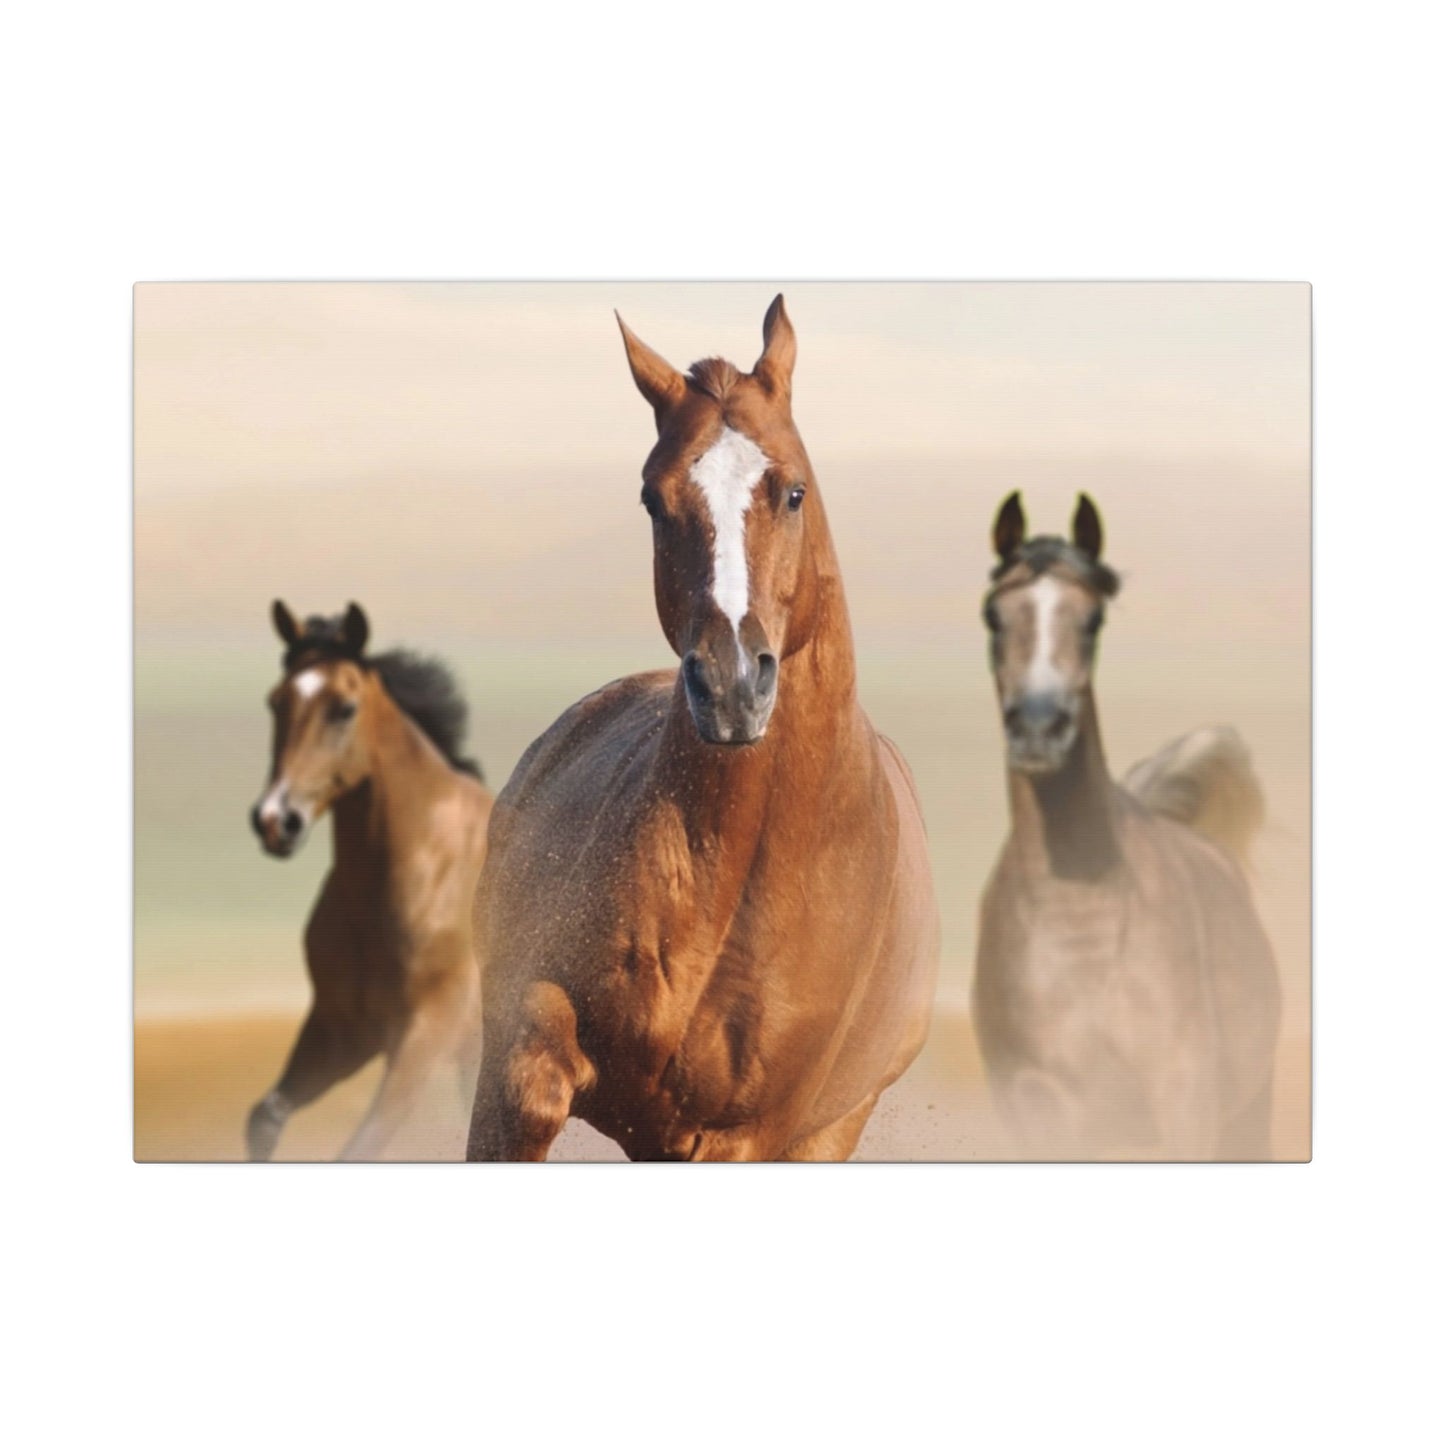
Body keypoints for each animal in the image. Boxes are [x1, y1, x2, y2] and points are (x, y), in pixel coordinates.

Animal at [246, 601, 492, 1160]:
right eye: (276, 702)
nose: (275, 820)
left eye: (343, 708)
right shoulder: (342, 1029)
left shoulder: (426, 1033)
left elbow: (361, 1146)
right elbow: (265, 1118)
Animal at [466, 295, 940, 1161]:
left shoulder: (737, 1133)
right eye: (654, 499)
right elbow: (532, 1088)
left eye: (793, 491)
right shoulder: (526, 1045)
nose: (730, 685)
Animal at [971, 492, 1281, 1160]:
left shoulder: (1184, 1106)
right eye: (993, 617)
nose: (1038, 728)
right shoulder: (1036, 1114)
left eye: (1092, 620)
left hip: (1248, 1114)